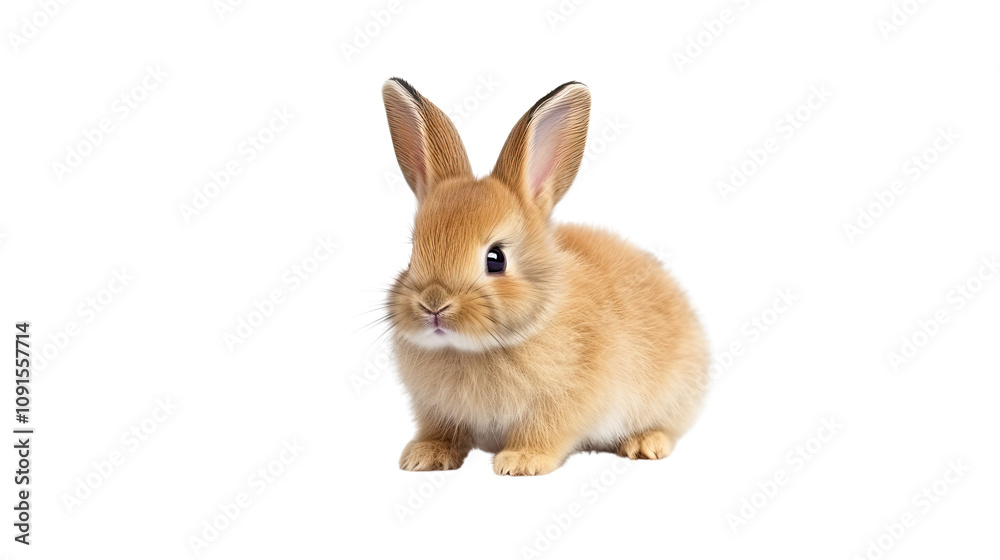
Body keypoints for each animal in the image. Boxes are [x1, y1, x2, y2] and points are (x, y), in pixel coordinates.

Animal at [380, 77, 709, 476]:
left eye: (496, 259)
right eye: (413, 253)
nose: (433, 304)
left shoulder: (563, 402)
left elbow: (544, 432)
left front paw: (520, 462)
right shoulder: (436, 411)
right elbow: (441, 431)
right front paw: (424, 456)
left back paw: (645, 444)